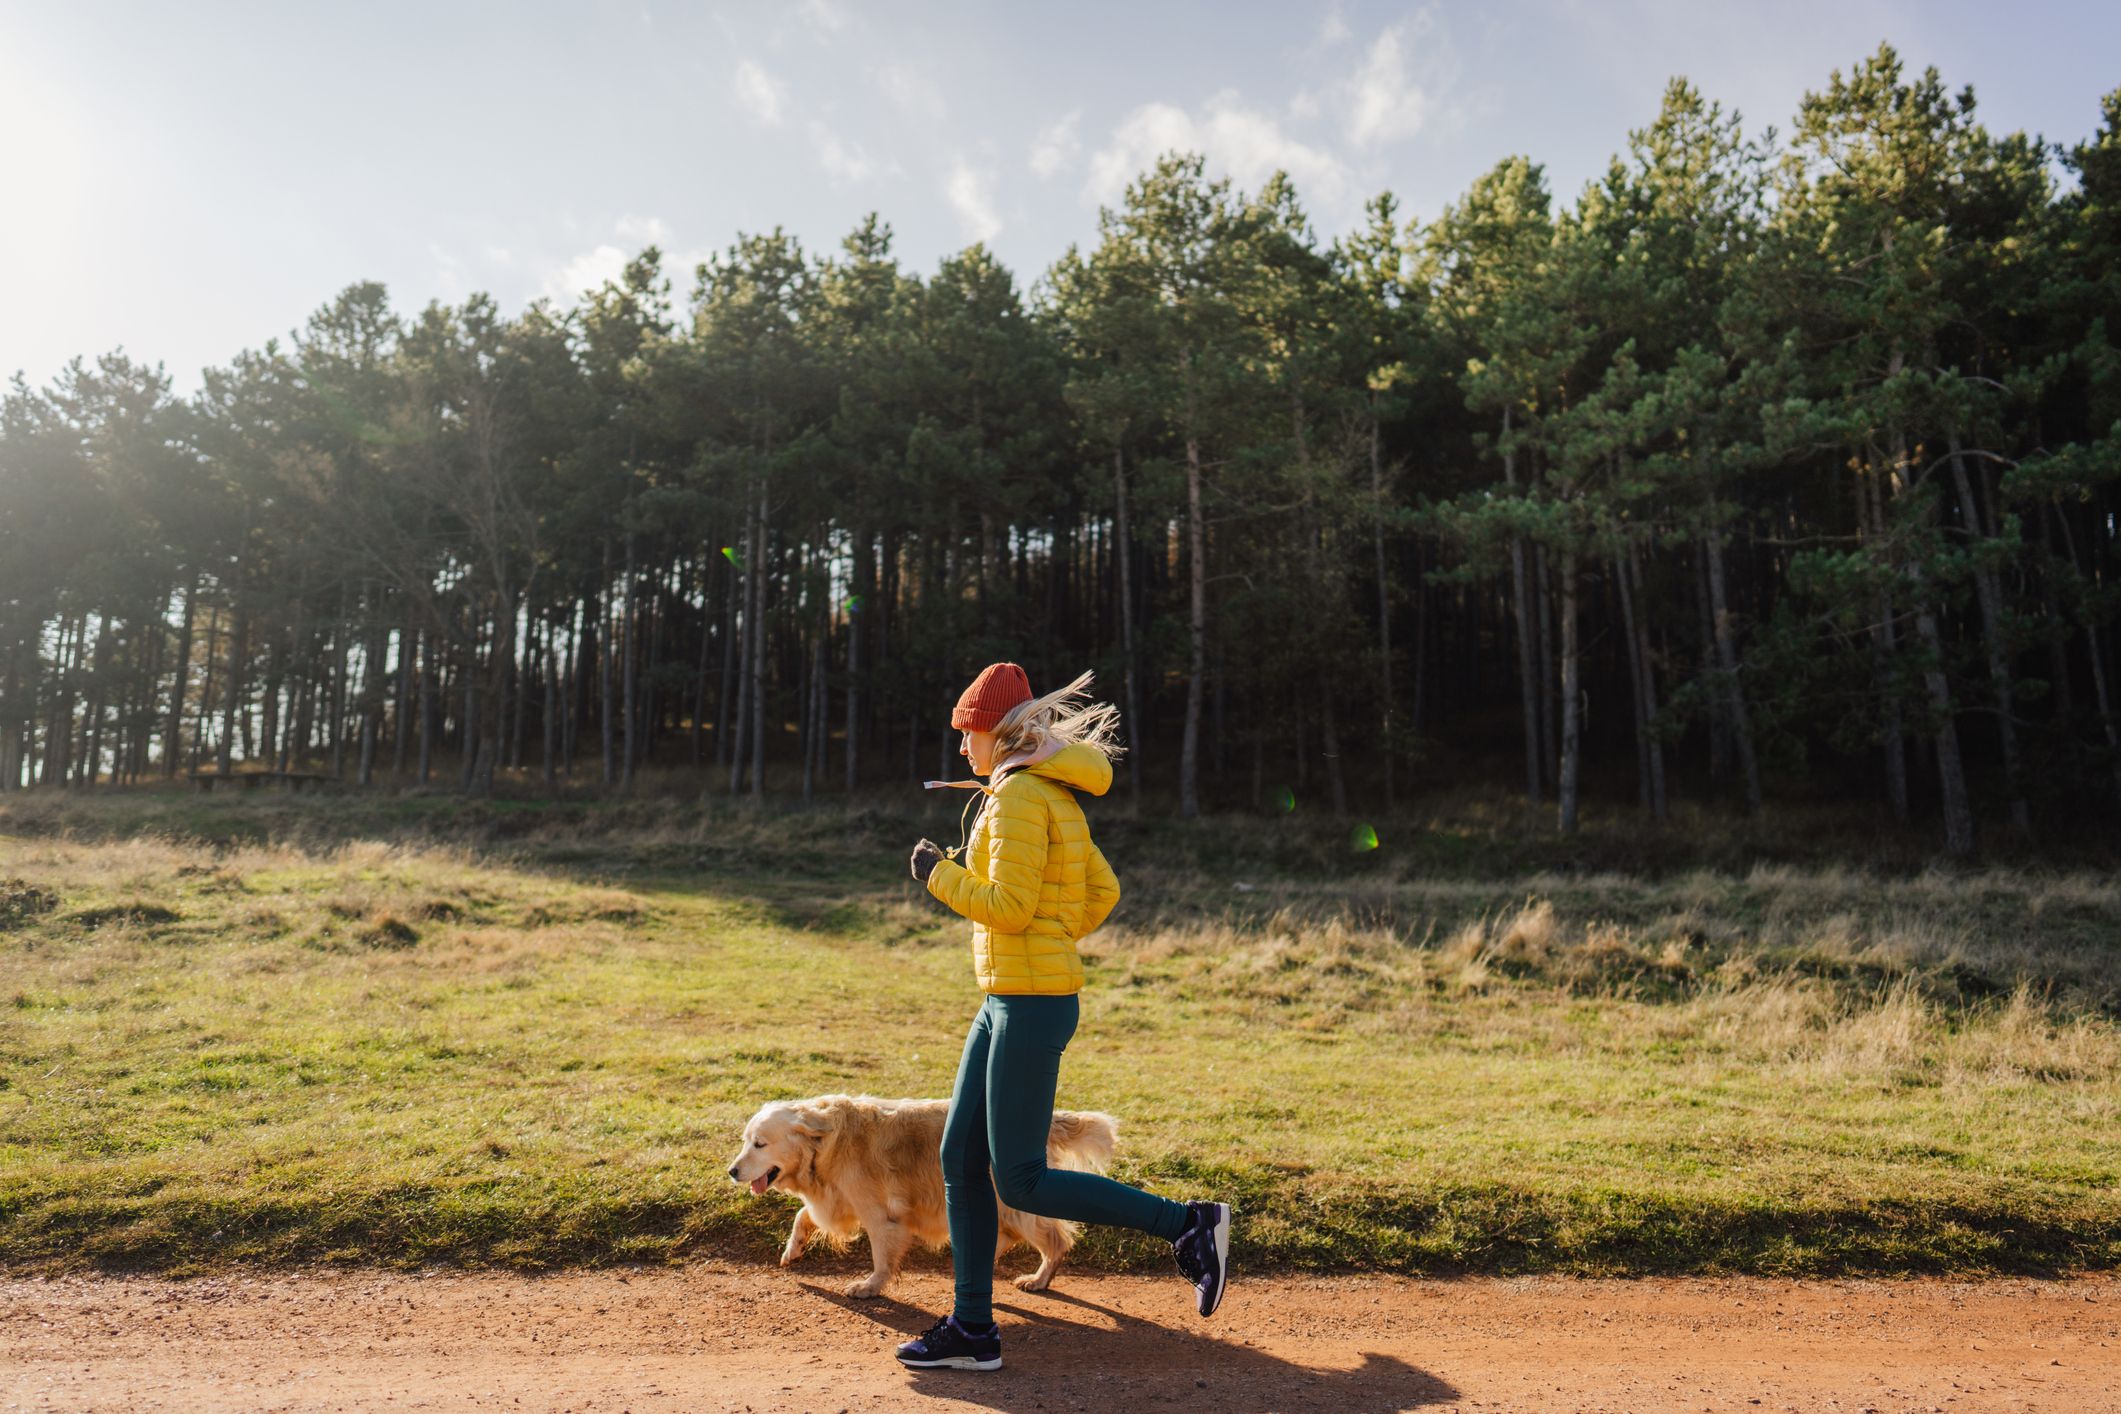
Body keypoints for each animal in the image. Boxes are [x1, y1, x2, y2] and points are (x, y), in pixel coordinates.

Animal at [729, 1093, 1119, 1305]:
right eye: (746, 1141)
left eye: (760, 1144)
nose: (732, 1171)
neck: (825, 1144)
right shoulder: (836, 1199)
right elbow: (803, 1216)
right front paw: (792, 1250)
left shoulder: (880, 1215)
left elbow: (881, 1256)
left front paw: (870, 1286)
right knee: (1005, 1236)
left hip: (1017, 1200)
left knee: (1055, 1239)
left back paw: (1039, 1279)